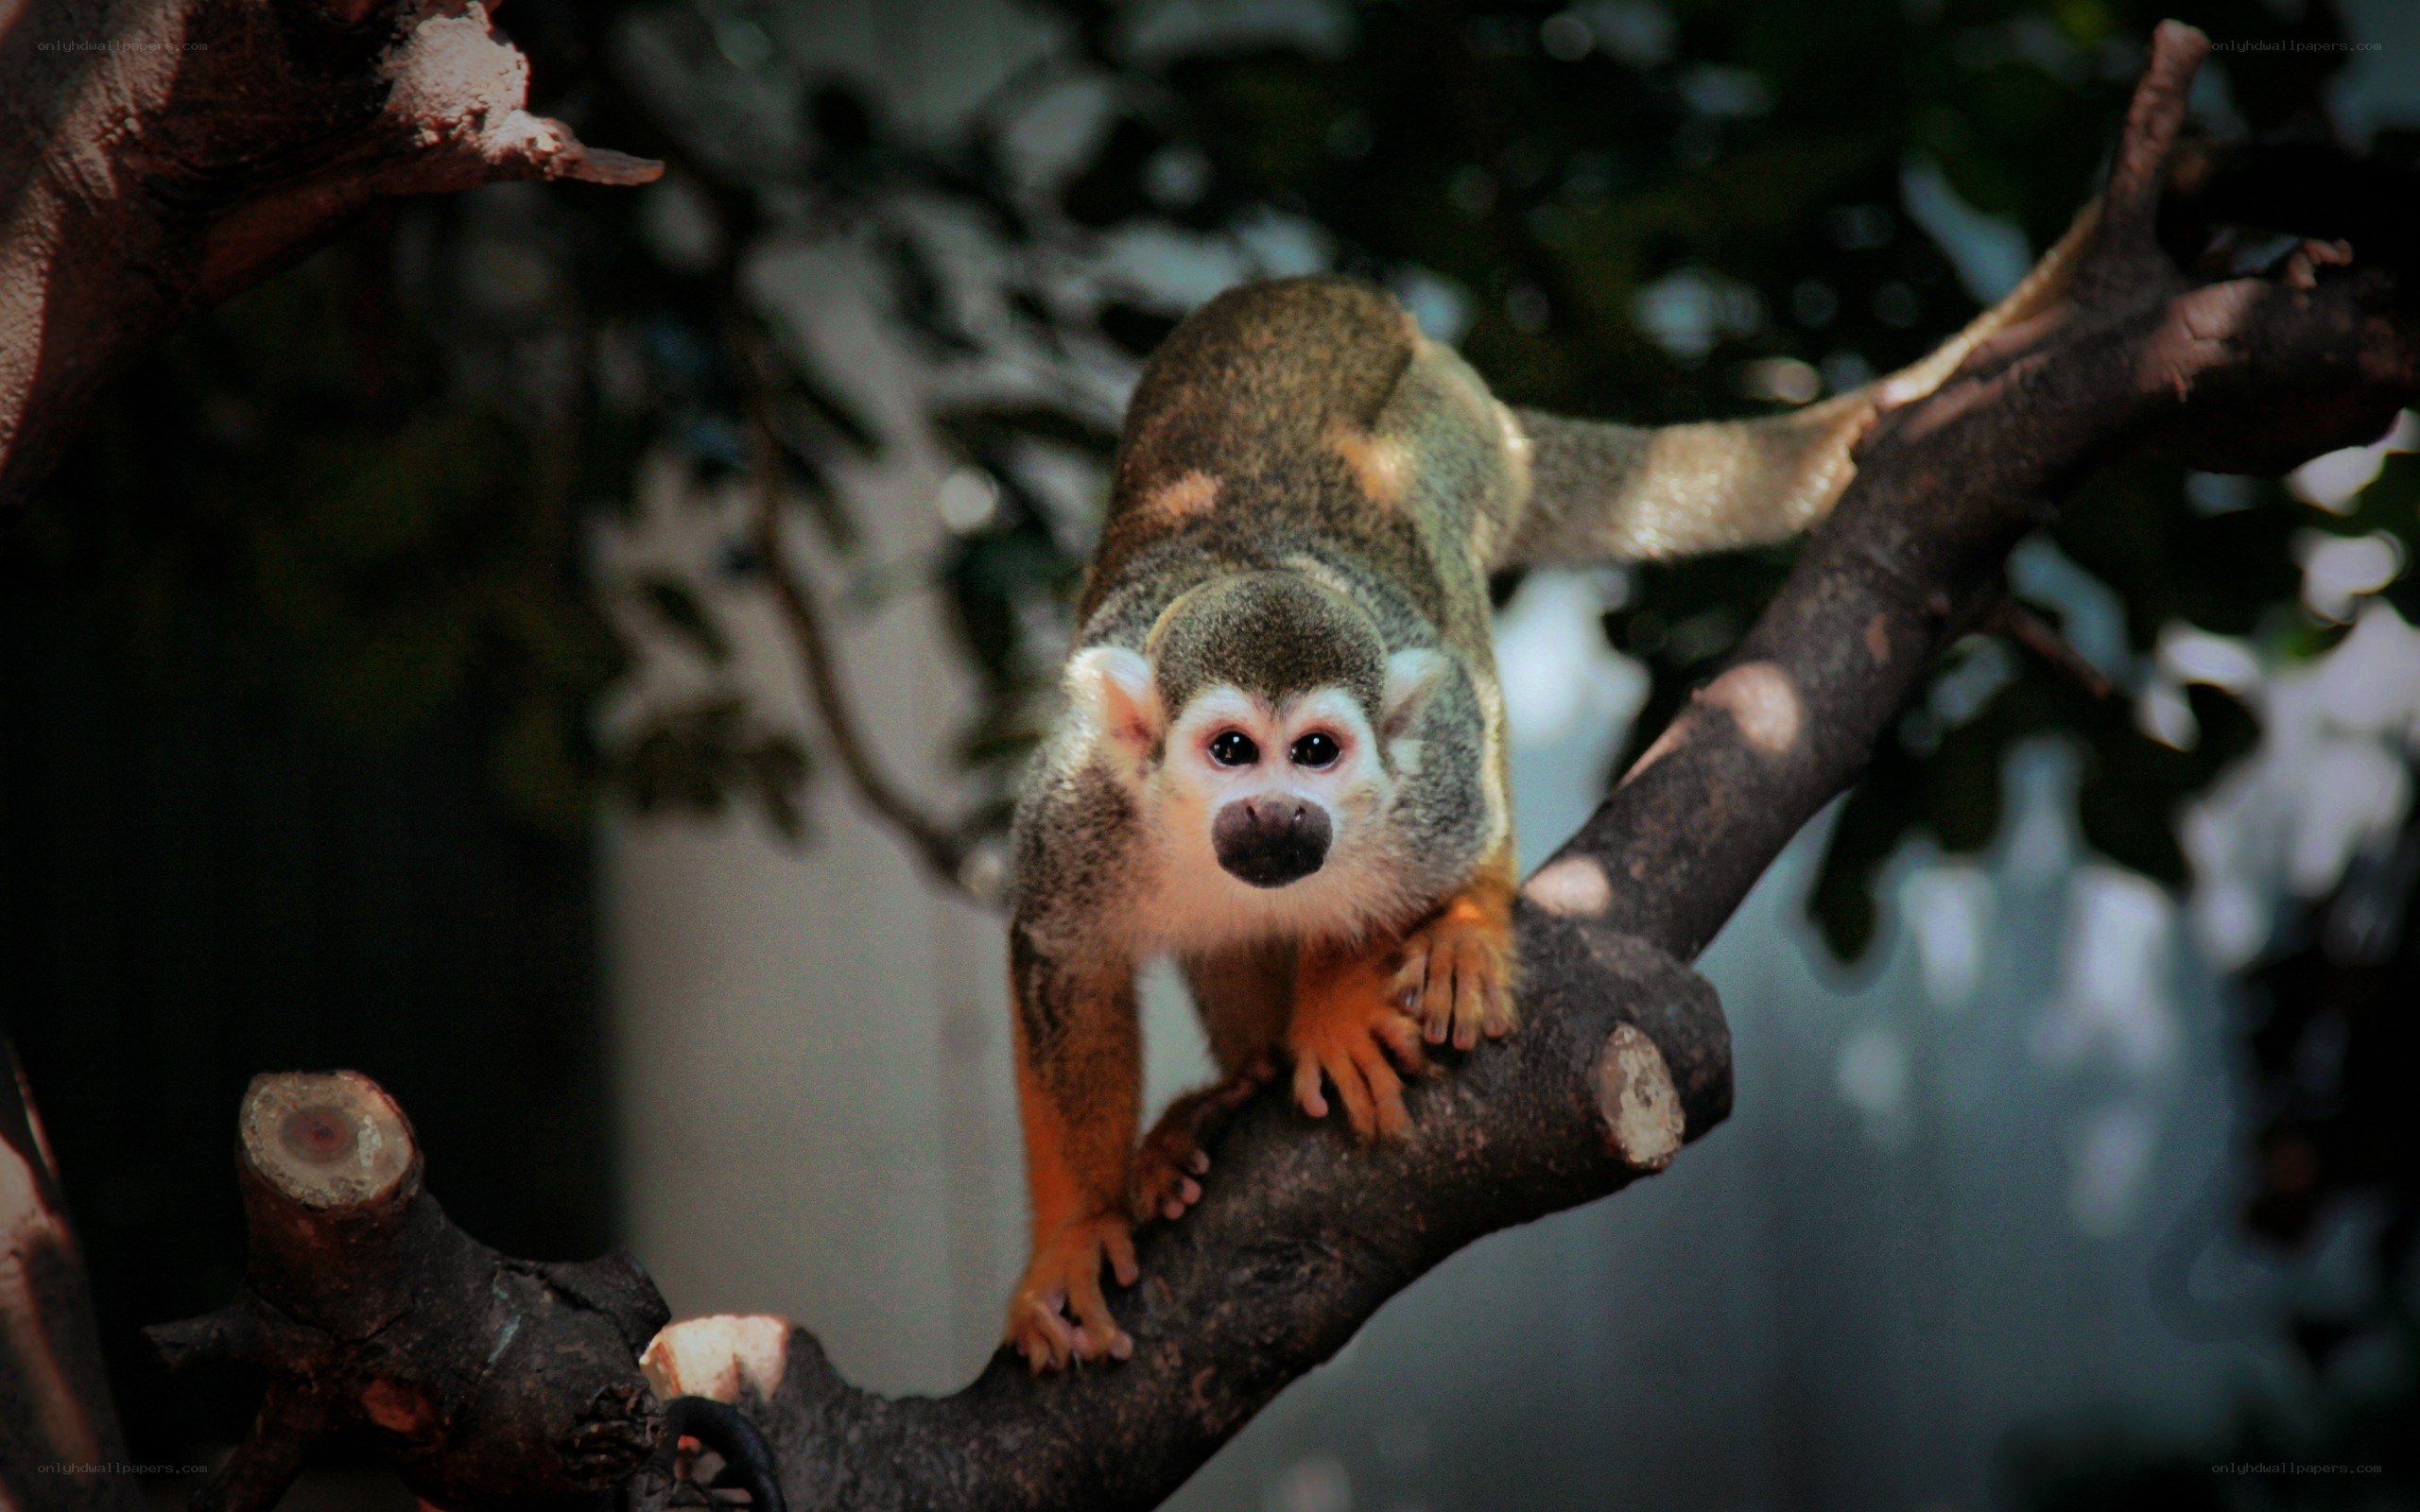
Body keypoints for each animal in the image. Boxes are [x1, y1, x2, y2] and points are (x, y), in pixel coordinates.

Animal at [1001, 211, 2097, 1372]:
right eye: (1228, 751)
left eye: (1315, 752)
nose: (1281, 816)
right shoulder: (1079, 810)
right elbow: (1061, 958)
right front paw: (1074, 1238)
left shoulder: (1418, 788)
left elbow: (1448, 790)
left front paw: (1342, 996)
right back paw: (1229, 1092)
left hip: (1451, 431)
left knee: (1442, 585)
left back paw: (1455, 931)